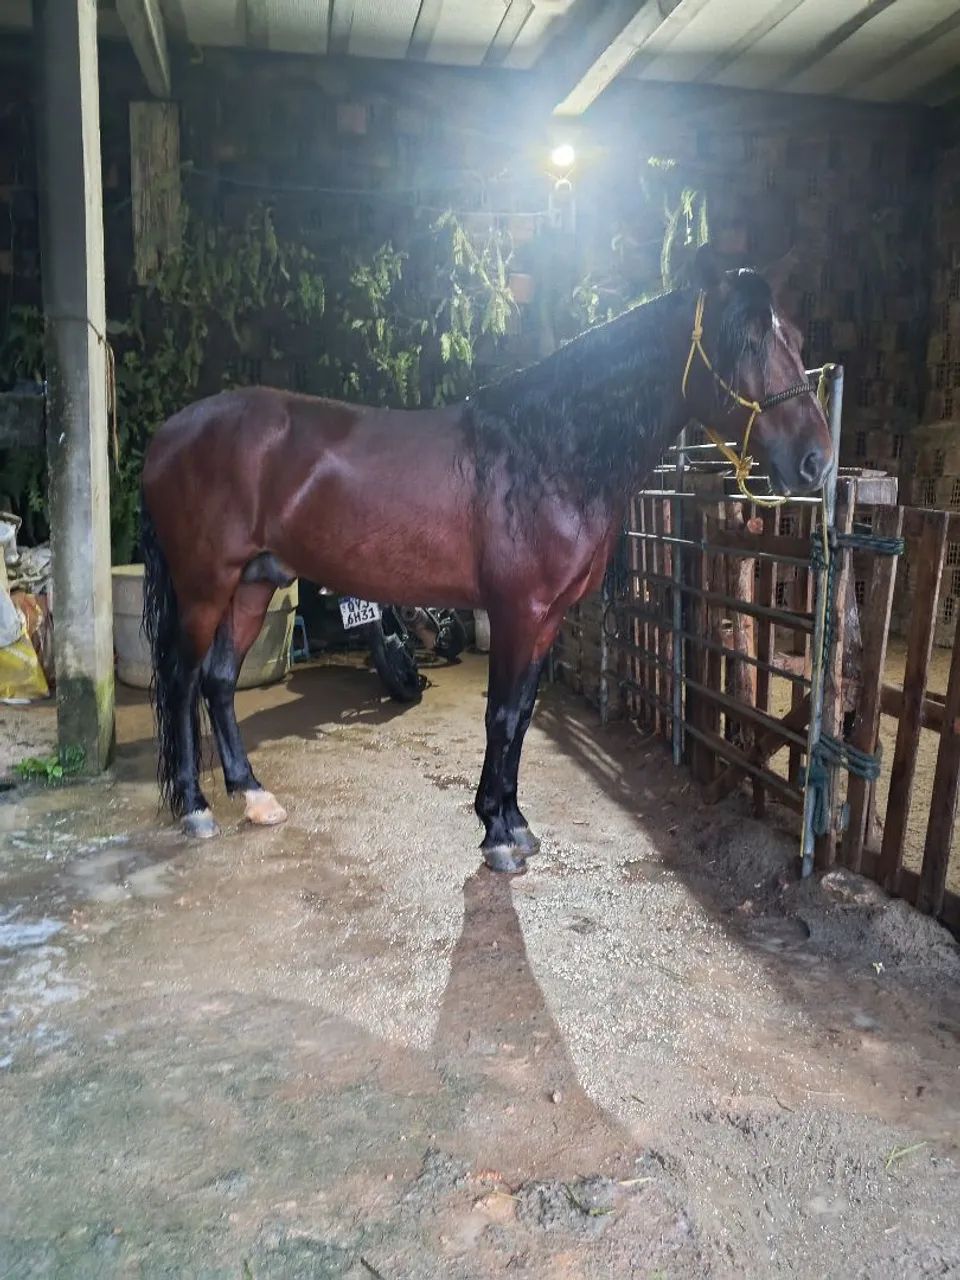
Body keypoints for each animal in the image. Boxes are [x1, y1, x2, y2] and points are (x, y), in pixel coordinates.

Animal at [140, 244, 833, 873]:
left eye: (797, 339)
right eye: (743, 342)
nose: (817, 461)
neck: (546, 450)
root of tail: (170, 434)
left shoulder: (548, 617)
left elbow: (522, 718)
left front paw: (514, 821)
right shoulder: (517, 611)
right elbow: (500, 715)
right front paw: (497, 836)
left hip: (255, 581)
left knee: (219, 681)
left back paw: (254, 796)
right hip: (205, 585)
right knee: (181, 681)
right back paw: (196, 808)